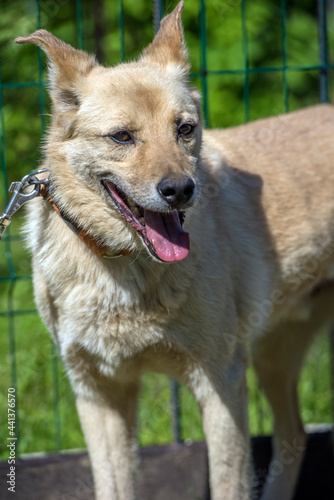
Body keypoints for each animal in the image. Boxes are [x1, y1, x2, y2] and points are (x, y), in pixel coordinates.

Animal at [14, 1, 334, 498]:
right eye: (121, 137)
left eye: (185, 129)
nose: (181, 190)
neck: (124, 268)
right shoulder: (98, 393)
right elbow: (114, 486)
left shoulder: (221, 380)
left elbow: (229, 483)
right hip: (273, 352)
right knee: (294, 436)